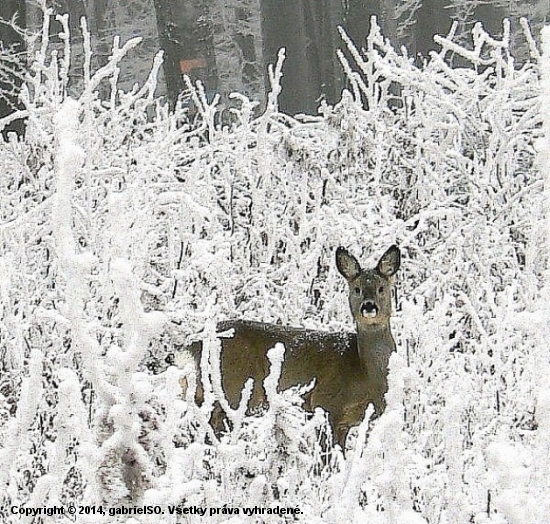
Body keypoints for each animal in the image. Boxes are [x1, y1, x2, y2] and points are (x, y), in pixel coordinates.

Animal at [185, 244, 402, 448]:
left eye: (381, 288)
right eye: (356, 289)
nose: (368, 306)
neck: (364, 372)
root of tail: (193, 344)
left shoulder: (345, 423)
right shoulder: (324, 404)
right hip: (231, 388)